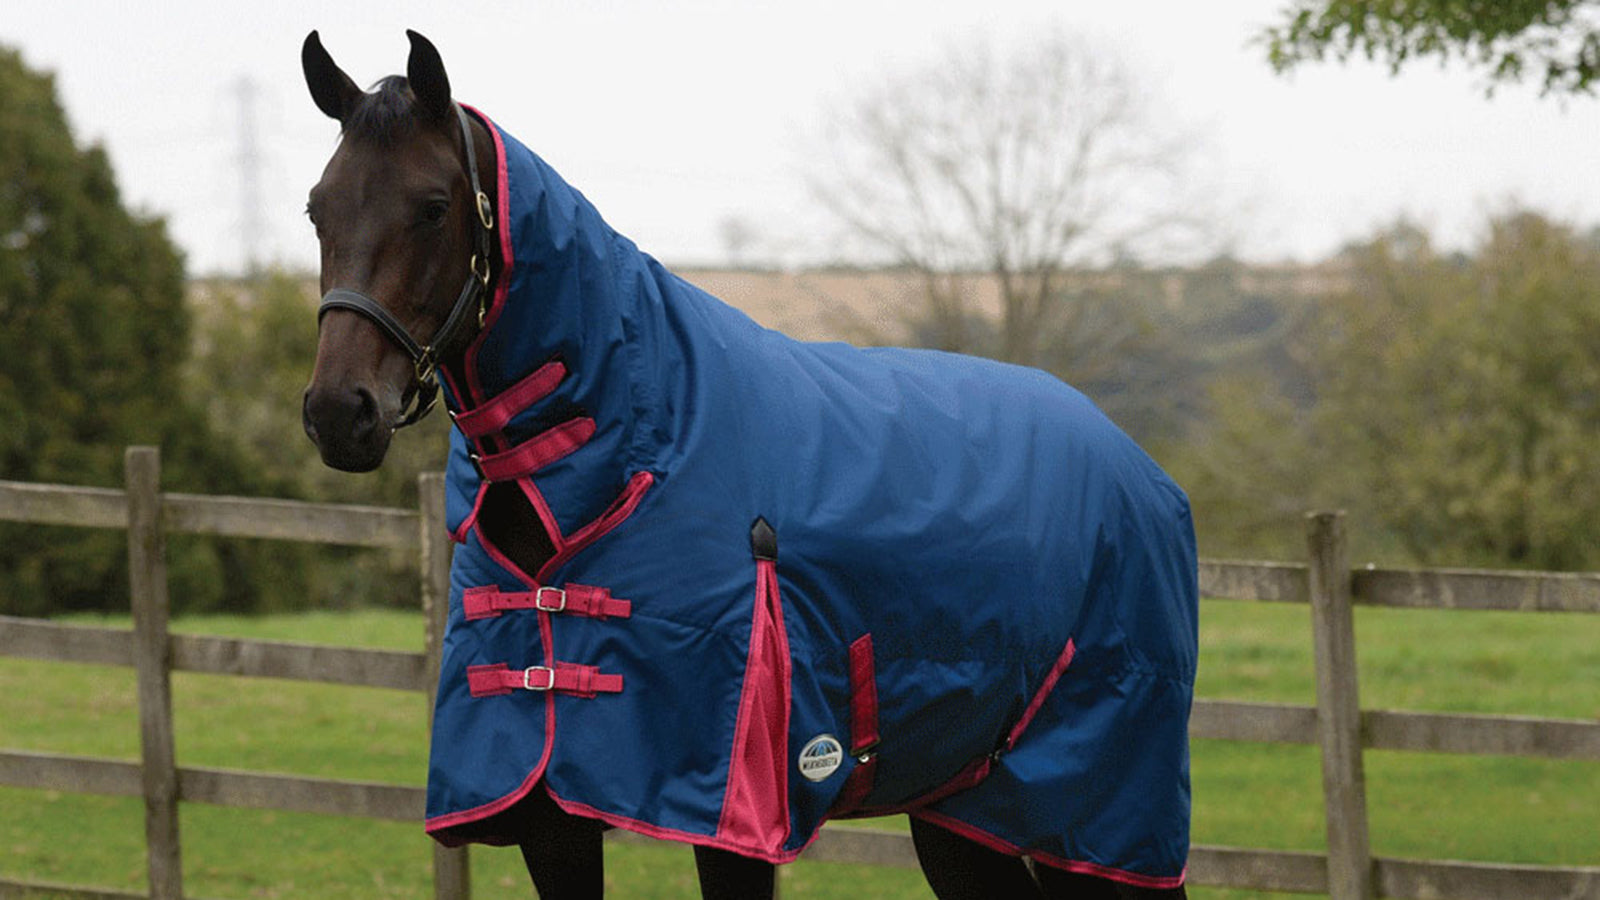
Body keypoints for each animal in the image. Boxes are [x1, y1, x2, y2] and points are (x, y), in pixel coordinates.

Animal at [300, 30, 1198, 900]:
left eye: (433, 207)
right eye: (317, 209)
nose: (340, 412)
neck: (636, 447)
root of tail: (1139, 467)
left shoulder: (734, 817)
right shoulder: (547, 816)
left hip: (1102, 818)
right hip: (966, 809)